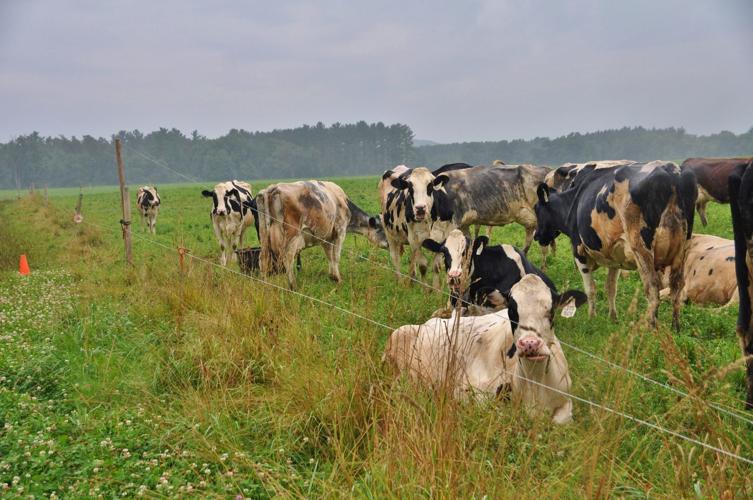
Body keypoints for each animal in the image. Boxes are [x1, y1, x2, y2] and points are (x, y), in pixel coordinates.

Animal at [255, 180, 386, 289]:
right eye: (382, 229)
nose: (389, 244)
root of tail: (273, 188)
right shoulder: (340, 230)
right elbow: (336, 256)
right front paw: (338, 279)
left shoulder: (326, 237)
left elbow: (329, 255)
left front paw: (333, 277)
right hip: (292, 235)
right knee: (288, 258)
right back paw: (293, 286)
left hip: (264, 234)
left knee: (263, 258)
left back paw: (265, 285)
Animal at [383, 274, 574, 424]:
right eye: (512, 310)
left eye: (551, 311)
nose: (530, 343)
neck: (535, 383)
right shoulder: (471, 394)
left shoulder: (566, 402)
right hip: (398, 342)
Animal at [534, 161, 697, 330]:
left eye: (536, 209)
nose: (536, 235)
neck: (574, 202)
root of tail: (670, 170)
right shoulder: (615, 256)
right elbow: (611, 288)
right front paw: (613, 318)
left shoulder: (579, 251)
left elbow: (590, 289)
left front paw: (591, 318)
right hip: (682, 249)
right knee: (677, 287)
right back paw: (675, 327)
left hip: (641, 248)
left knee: (652, 288)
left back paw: (651, 328)